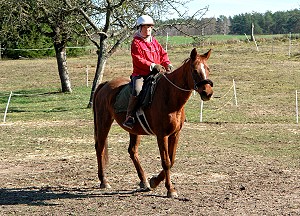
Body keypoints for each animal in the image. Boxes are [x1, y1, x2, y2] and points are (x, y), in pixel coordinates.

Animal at [93, 47, 213, 197]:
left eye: (207, 69)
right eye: (195, 70)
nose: (208, 93)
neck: (169, 95)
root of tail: (105, 85)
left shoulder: (175, 134)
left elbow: (171, 160)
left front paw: (154, 181)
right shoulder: (162, 136)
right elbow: (166, 161)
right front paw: (170, 189)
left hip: (134, 130)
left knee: (132, 151)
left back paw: (143, 181)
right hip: (104, 122)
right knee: (100, 147)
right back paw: (104, 180)